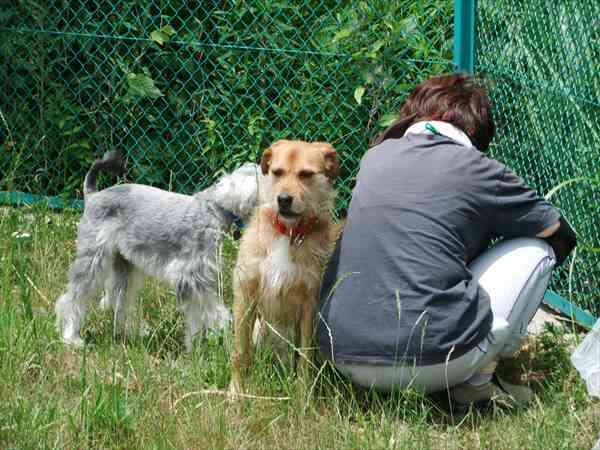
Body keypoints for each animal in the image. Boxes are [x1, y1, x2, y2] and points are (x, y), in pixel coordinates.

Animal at [55, 151, 262, 351]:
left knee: (120, 302)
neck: (214, 208)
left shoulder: (193, 282)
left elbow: (195, 316)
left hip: (124, 267)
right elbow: (213, 312)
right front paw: (223, 336)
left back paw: (129, 333)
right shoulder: (191, 276)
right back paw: (71, 338)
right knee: (73, 299)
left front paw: (194, 346)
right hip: (92, 259)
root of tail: (92, 196)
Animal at [229, 140, 339, 395]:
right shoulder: (245, 295)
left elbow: (305, 358)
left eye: (306, 174)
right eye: (277, 172)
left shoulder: (309, 305)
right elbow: (240, 353)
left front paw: (302, 395)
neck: (288, 233)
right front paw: (236, 393)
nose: (284, 199)